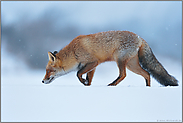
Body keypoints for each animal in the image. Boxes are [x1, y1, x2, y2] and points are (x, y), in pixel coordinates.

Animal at [42, 30, 178, 86]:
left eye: (49, 71)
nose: (42, 81)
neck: (74, 52)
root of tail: (139, 37)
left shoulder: (93, 62)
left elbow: (78, 74)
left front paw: (84, 82)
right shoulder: (92, 67)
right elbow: (88, 79)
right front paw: (87, 86)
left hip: (120, 60)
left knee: (123, 75)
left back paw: (112, 84)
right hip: (132, 65)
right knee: (147, 74)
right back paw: (147, 88)